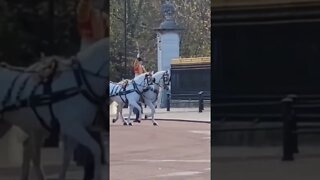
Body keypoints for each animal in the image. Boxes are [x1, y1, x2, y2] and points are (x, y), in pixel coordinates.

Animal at [0, 37, 107, 179]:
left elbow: (66, 158)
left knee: (30, 150)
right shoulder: (72, 126)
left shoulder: (74, 130)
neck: (80, 83)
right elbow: (96, 148)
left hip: (17, 125)